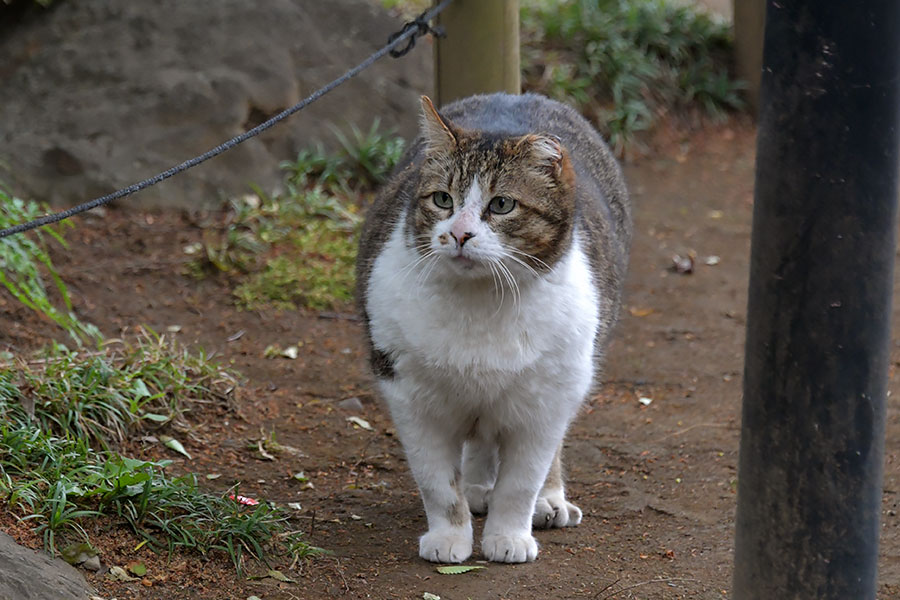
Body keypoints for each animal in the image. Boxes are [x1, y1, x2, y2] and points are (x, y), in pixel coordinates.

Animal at [356, 92, 628, 564]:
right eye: (442, 200)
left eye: (502, 205)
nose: (460, 234)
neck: (481, 301)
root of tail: (516, 94)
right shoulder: (411, 396)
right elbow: (437, 482)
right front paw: (450, 536)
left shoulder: (547, 400)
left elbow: (521, 482)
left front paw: (509, 537)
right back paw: (478, 487)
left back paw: (547, 500)